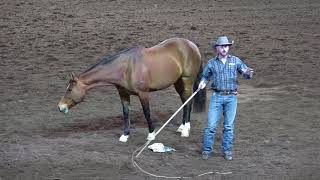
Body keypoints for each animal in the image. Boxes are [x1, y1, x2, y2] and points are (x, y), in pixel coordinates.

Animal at [58, 37, 205, 142]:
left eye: (69, 89)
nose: (60, 107)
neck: (126, 68)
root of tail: (192, 45)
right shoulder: (123, 94)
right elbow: (126, 113)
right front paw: (125, 135)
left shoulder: (143, 93)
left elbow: (147, 112)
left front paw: (151, 134)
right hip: (178, 83)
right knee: (185, 101)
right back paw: (182, 127)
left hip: (187, 81)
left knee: (188, 101)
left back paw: (186, 130)